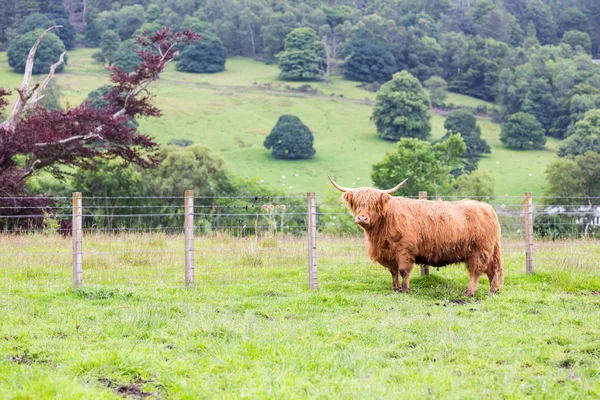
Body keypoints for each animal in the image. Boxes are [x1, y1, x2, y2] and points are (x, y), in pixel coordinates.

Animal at [330, 177, 504, 296]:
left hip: (479, 251)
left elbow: (403, 271)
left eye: (374, 204)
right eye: (357, 203)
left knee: (476, 271)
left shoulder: (405, 251)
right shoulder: (389, 253)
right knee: (492, 269)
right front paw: (395, 288)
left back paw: (469, 292)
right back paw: (492, 291)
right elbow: (393, 272)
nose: (362, 218)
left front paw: (405, 289)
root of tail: (487, 207)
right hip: (487, 251)